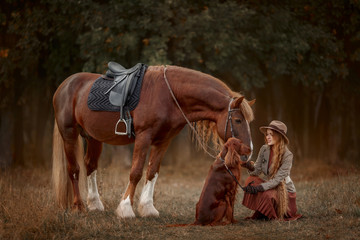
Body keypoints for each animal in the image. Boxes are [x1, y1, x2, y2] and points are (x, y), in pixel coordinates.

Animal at [52, 64, 256, 218]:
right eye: (238, 120)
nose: (248, 153)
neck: (169, 95)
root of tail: (65, 85)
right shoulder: (144, 137)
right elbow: (135, 172)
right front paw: (126, 209)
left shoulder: (163, 141)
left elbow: (152, 172)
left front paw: (147, 208)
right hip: (69, 134)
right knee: (74, 169)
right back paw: (78, 206)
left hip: (94, 138)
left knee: (90, 166)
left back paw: (95, 204)